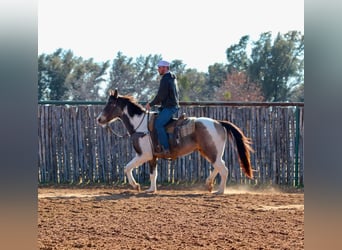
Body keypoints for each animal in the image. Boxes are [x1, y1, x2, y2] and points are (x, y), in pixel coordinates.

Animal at [97, 89, 254, 194]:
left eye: (110, 104)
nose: (99, 119)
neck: (139, 124)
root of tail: (219, 123)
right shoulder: (152, 157)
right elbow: (153, 173)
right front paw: (151, 189)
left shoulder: (144, 155)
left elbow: (127, 167)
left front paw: (136, 186)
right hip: (210, 151)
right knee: (219, 166)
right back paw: (209, 184)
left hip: (211, 151)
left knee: (223, 169)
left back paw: (219, 191)